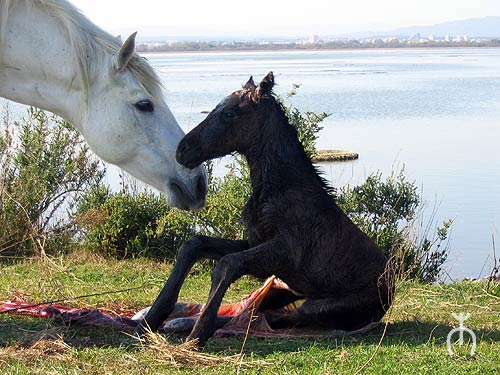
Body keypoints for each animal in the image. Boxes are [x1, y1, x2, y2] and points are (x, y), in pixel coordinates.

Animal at [135, 72, 392, 348]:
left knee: (272, 317)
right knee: (256, 311)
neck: (278, 190)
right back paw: (178, 322)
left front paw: (196, 336)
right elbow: (194, 244)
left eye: (229, 114)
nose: (182, 151)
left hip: (320, 307)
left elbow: (228, 264)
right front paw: (151, 319)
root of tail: (389, 291)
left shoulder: (287, 251)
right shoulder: (255, 242)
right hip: (282, 290)